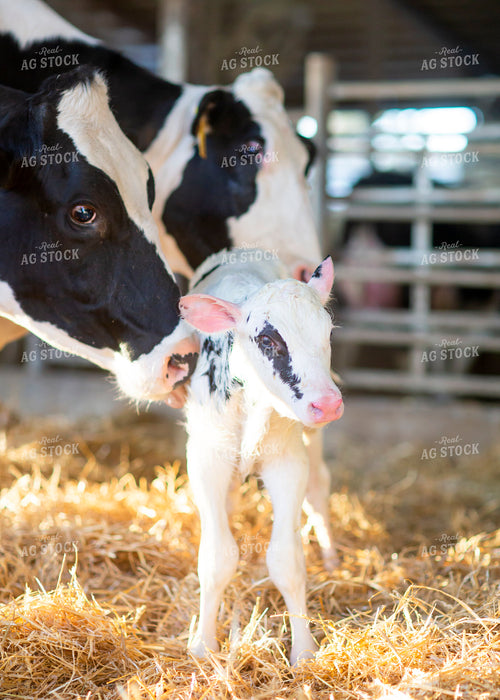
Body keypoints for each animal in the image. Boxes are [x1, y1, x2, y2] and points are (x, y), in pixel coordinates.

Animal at [179, 251, 343, 664]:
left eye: (329, 333)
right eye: (268, 340)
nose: (327, 404)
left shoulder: (288, 462)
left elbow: (287, 560)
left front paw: (304, 649)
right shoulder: (206, 461)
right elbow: (216, 557)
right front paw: (204, 645)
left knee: (319, 489)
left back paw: (331, 556)